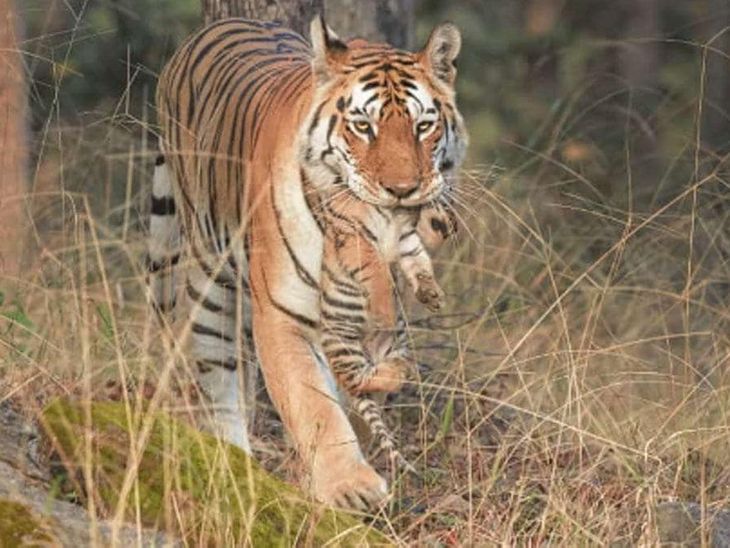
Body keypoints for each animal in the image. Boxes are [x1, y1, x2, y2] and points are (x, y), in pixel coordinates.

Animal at [148, 16, 467, 510]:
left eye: (424, 125)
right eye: (363, 126)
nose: (402, 190)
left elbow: (361, 389)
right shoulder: (283, 316)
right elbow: (313, 403)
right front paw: (350, 486)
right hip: (208, 281)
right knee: (219, 379)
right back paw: (236, 465)